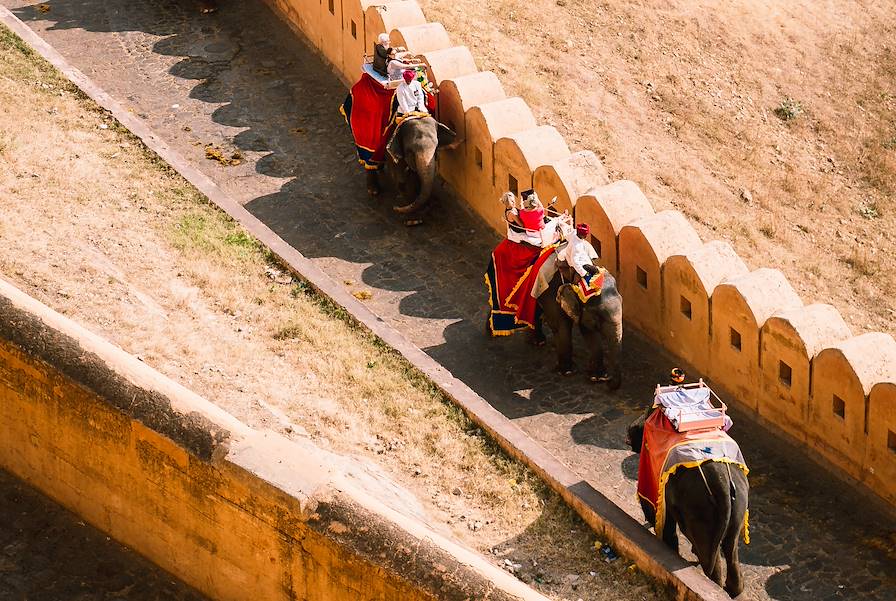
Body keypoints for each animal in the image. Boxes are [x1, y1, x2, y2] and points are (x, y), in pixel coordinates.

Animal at [624, 410, 748, 596]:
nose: (628, 435)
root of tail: (722, 483)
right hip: (739, 502)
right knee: (730, 547)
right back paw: (732, 589)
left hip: (700, 509)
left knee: (710, 556)